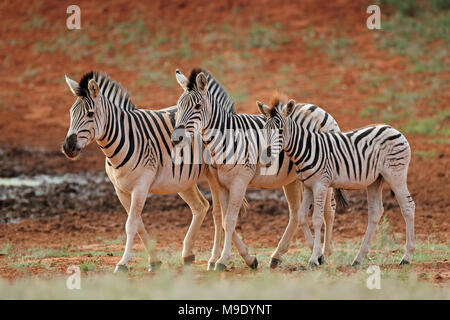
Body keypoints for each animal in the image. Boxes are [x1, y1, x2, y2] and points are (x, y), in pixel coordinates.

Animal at [61, 71, 256, 272]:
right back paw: (196, 254)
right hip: (182, 180)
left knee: (219, 215)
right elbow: (138, 223)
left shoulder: (141, 186)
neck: (124, 138)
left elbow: (131, 224)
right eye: (70, 113)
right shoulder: (120, 190)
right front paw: (154, 260)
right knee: (201, 206)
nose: (68, 147)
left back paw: (223, 259)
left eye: (90, 114)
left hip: (213, 175)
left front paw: (123, 262)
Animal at [171, 69, 342, 272]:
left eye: (197, 106)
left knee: (329, 211)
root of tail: (321, 109)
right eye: (178, 107)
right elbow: (222, 219)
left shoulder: (240, 181)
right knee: (295, 213)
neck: (226, 137)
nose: (176, 139)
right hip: (292, 178)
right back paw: (281, 256)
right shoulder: (220, 183)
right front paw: (244, 258)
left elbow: (229, 220)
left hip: (323, 173)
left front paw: (222, 260)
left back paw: (325, 253)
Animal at [258, 99, 416, 266]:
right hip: (375, 180)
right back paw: (358, 259)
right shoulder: (308, 186)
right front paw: (318, 256)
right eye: (264, 130)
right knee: (376, 212)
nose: (266, 155)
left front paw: (314, 259)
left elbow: (317, 218)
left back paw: (406, 257)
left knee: (408, 206)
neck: (306, 148)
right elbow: (301, 216)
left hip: (395, 174)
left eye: (281, 130)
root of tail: (393, 129)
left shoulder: (320, 184)